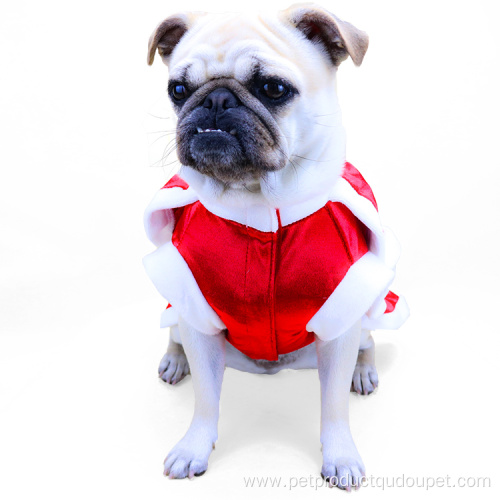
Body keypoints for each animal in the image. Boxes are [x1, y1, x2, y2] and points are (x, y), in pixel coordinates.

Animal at [143, 1, 408, 490]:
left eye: (273, 88)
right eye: (177, 90)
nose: (215, 100)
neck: (260, 206)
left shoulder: (338, 324)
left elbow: (334, 407)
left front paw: (340, 455)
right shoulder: (198, 316)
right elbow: (205, 401)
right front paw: (194, 446)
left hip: (364, 311)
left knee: (366, 342)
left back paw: (363, 371)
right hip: (179, 307)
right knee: (175, 333)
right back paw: (175, 361)